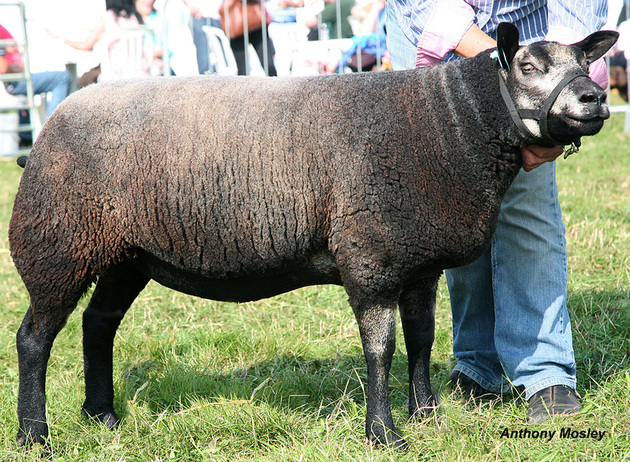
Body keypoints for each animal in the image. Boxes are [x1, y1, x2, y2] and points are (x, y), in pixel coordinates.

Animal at [8, 23, 624, 450]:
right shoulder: (369, 255)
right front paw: (384, 433)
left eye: (582, 62)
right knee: (35, 338)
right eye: (528, 64)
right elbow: (382, 348)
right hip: (55, 244)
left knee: (98, 324)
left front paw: (426, 415)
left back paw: (102, 417)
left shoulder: (418, 260)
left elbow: (422, 338)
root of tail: (50, 125)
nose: (594, 98)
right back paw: (35, 434)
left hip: (125, 254)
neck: (449, 123)